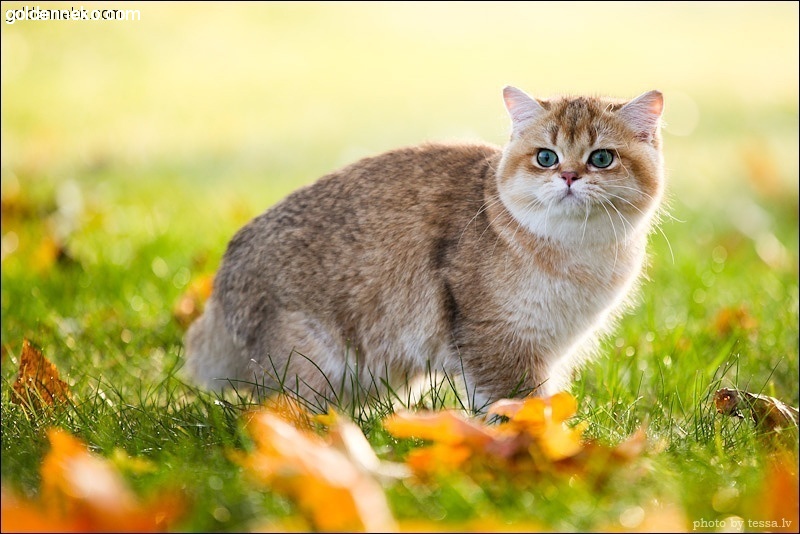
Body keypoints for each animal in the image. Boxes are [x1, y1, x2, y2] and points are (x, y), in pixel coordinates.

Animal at [184, 86, 664, 412]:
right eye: (546, 157)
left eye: (601, 158)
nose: (568, 176)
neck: (576, 253)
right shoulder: (498, 347)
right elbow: (513, 410)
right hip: (309, 366)